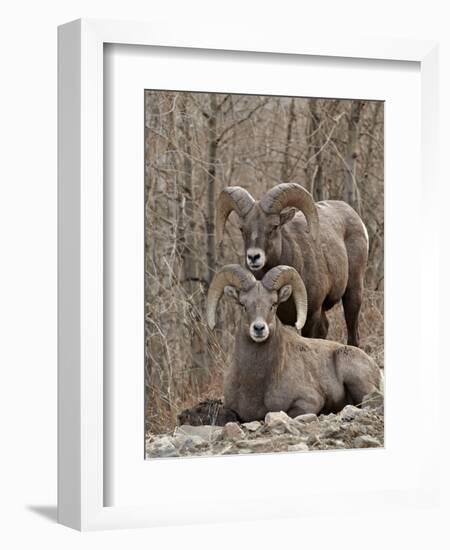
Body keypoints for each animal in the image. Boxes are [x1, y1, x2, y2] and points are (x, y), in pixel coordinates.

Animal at [217, 183, 370, 348]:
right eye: (242, 228)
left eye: (274, 226)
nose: (253, 257)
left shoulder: (311, 316)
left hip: (353, 293)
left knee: (353, 335)